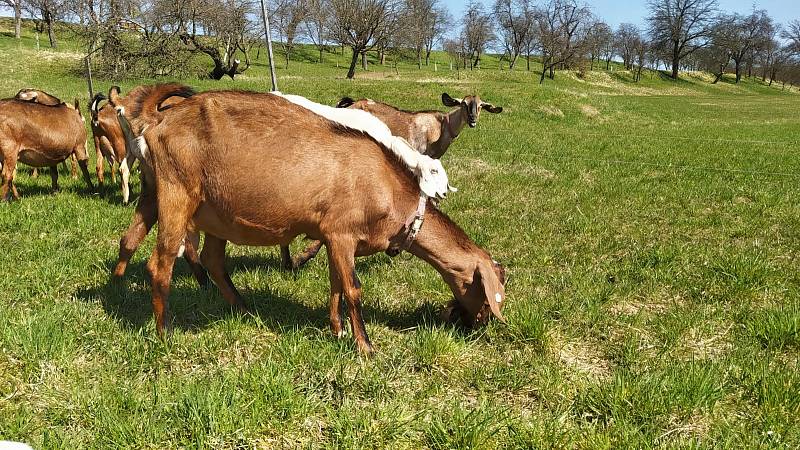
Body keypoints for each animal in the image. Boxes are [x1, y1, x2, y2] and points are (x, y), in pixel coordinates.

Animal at [110, 82, 506, 354]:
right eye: (487, 293)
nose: (479, 325)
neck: (390, 187)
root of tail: (158, 121)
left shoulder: (335, 239)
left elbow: (336, 286)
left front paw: (338, 330)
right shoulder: (342, 233)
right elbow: (353, 288)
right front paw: (365, 347)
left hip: (184, 203)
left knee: (200, 257)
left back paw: (242, 309)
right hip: (177, 193)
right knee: (161, 262)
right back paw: (164, 333)